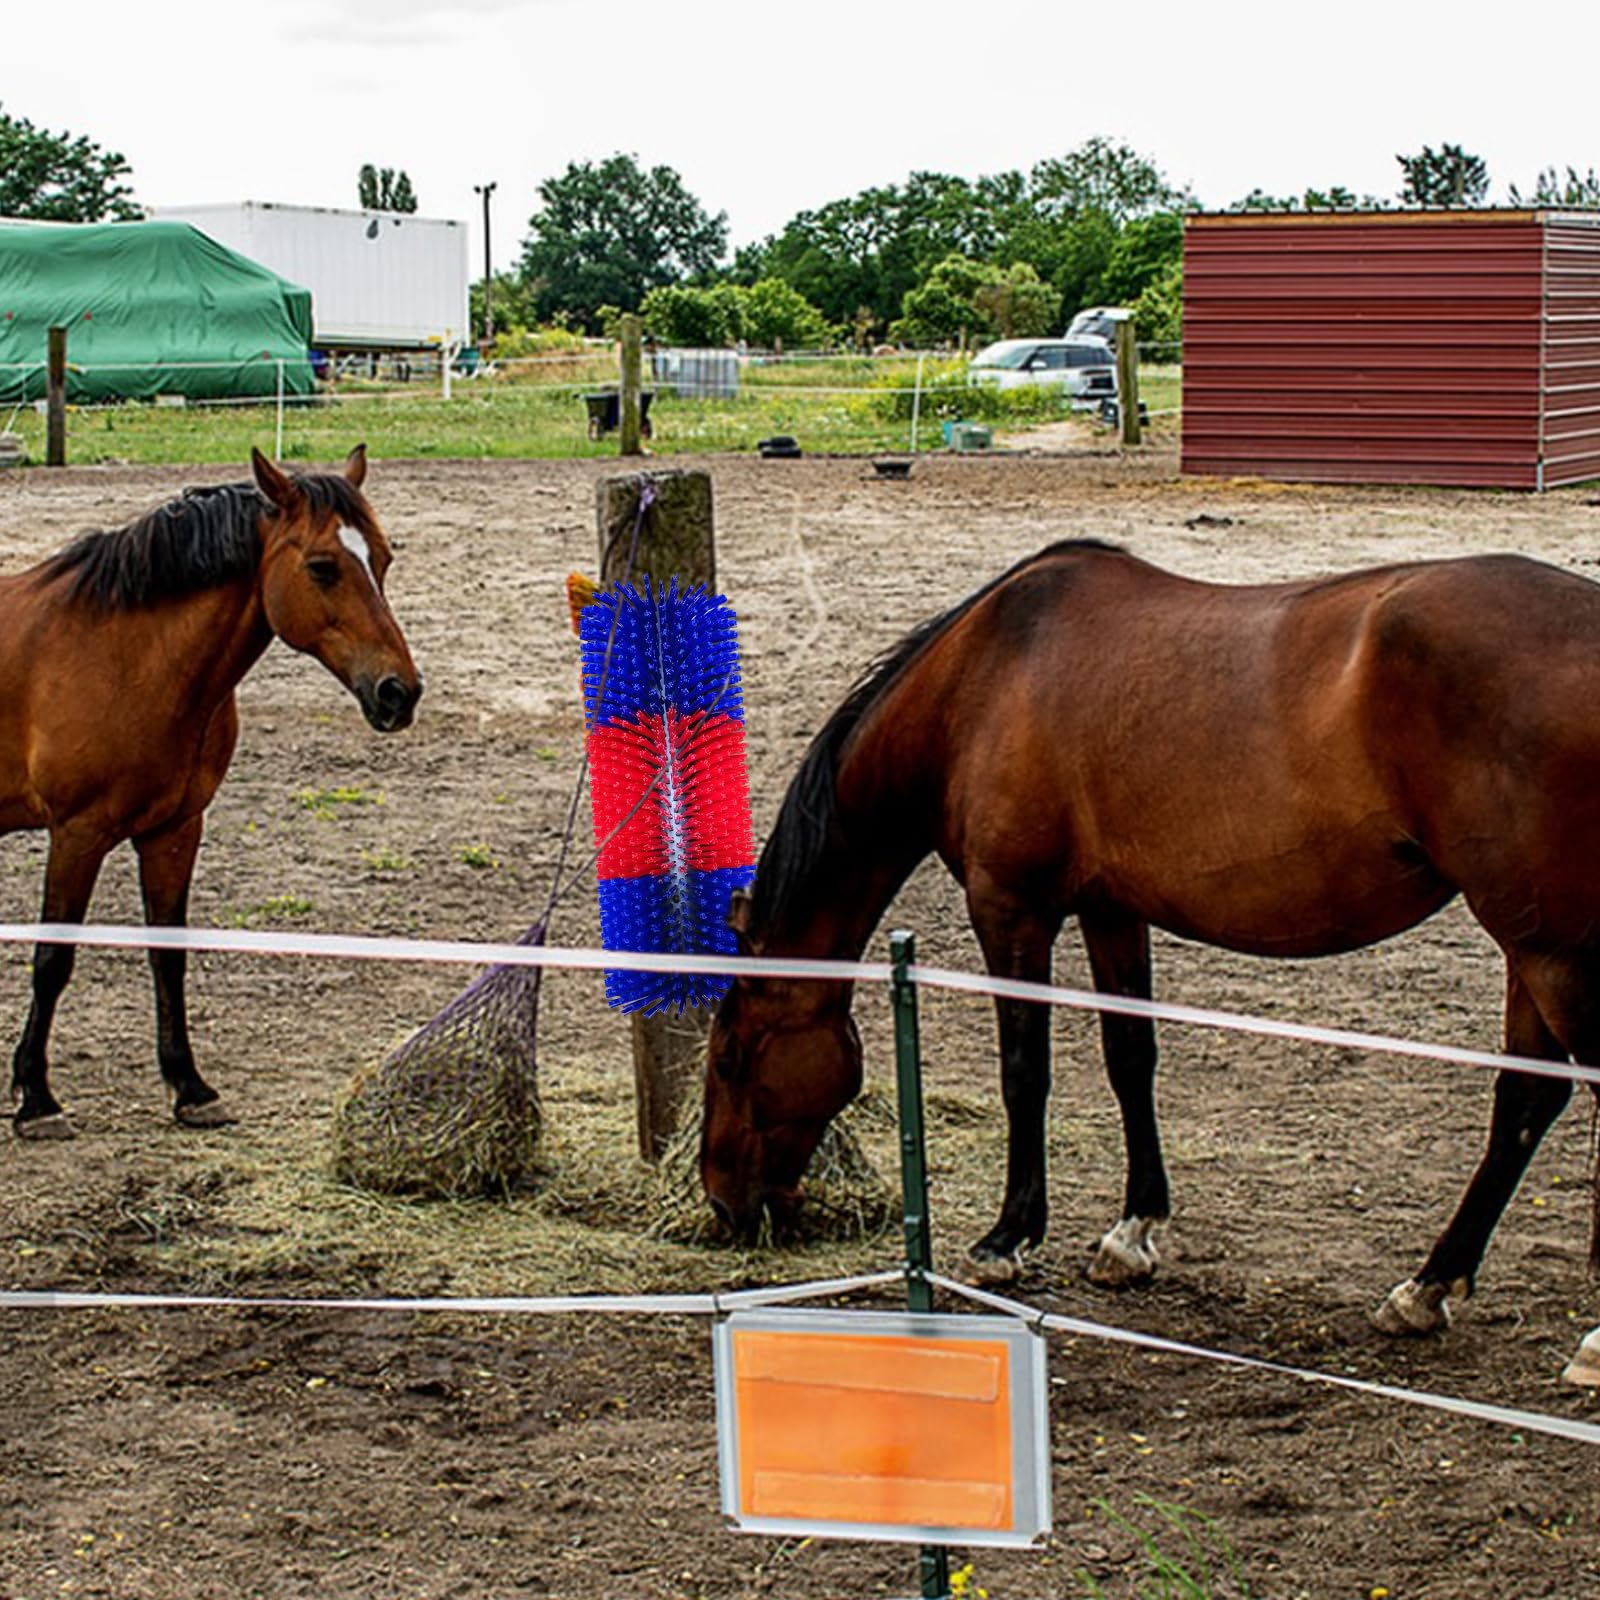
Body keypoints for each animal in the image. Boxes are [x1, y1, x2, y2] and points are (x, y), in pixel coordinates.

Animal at [0, 446, 422, 1138]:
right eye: (322, 567)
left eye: (383, 559)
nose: (399, 693)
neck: (126, 656)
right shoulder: (77, 834)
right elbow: (52, 962)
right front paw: (37, 1097)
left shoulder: (173, 831)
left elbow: (168, 955)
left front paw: (190, 1087)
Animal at [700, 537, 1600, 1356]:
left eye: (732, 1056)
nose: (722, 1201)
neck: (981, 681)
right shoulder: (1112, 912)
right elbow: (1131, 1056)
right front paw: (1131, 1235)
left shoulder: (1010, 909)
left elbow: (1025, 1071)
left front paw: (1006, 1238)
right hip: (1529, 945)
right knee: (1526, 1099)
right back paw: (1427, 1287)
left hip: (1553, 951)